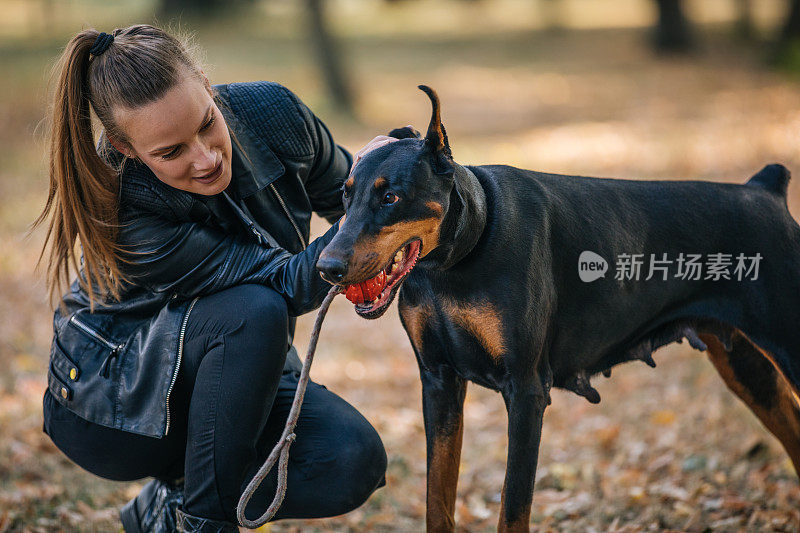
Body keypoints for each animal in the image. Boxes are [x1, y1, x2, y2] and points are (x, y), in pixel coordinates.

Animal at [316, 85, 800, 528]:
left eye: (391, 197)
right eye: (345, 195)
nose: (326, 267)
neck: (456, 260)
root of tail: (765, 190)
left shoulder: (526, 389)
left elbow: (513, 508)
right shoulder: (439, 380)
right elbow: (438, 498)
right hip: (744, 364)